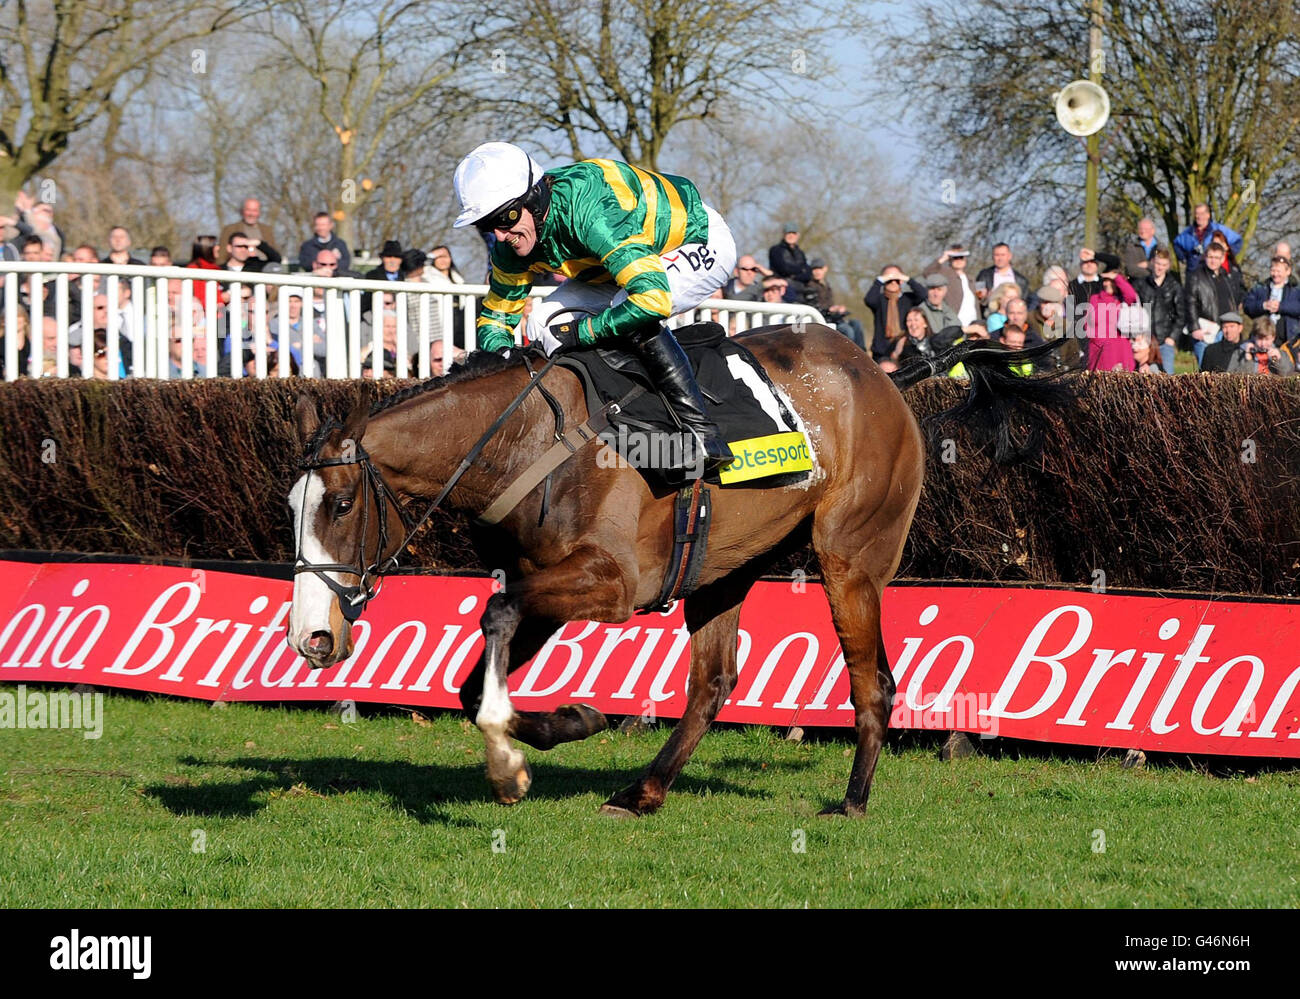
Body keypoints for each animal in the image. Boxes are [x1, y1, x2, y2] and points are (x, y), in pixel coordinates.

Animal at [287, 323, 1066, 816]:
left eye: (344, 503)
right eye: (291, 506)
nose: (311, 638)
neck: (523, 443)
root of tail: (880, 372)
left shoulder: (612, 582)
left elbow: (495, 619)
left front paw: (522, 755)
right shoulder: (544, 578)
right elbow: (471, 678)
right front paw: (564, 724)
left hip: (851, 557)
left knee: (872, 681)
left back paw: (851, 800)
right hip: (726, 566)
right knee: (713, 683)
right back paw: (644, 791)